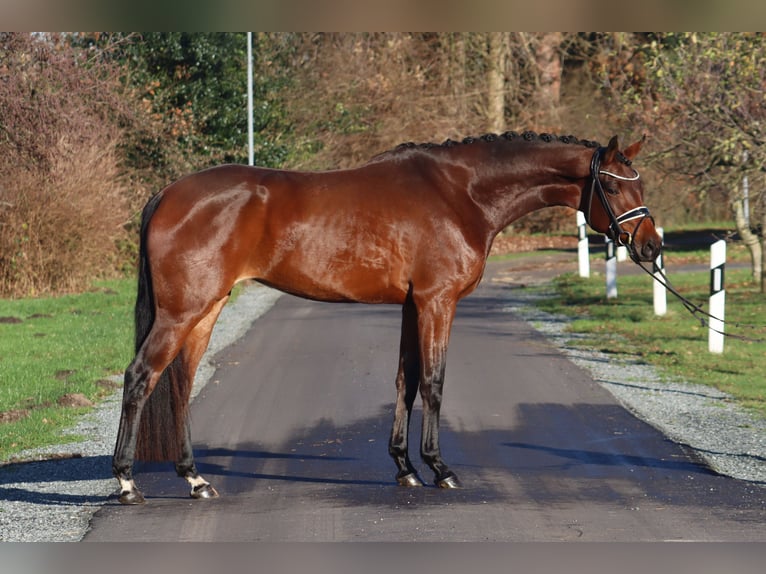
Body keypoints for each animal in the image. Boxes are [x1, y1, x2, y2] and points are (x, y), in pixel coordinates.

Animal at [111, 129, 664, 504]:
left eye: (640, 185)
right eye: (614, 187)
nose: (651, 247)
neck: (460, 193)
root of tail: (168, 194)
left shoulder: (410, 306)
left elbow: (407, 381)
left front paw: (405, 468)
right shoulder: (438, 302)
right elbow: (435, 382)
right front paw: (441, 469)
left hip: (206, 309)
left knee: (179, 383)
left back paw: (195, 478)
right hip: (183, 311)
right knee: (140, 376)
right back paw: (127, 482)